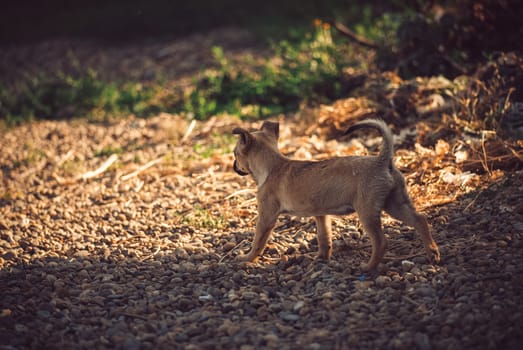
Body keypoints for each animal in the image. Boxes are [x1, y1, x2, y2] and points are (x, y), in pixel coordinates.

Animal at [231, 118, 440, 270]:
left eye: (235, 154)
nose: (234, 166)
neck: (273, 166)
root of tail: (382, 161)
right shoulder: (321, 215)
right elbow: (324, 238)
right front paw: (321, 258)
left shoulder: (266, 217)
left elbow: (258, 241)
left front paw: (247, 258)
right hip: (396, 204)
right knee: (420, 220)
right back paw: (433, 253)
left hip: (368, 211)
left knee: (381, 241)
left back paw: (369, 267)